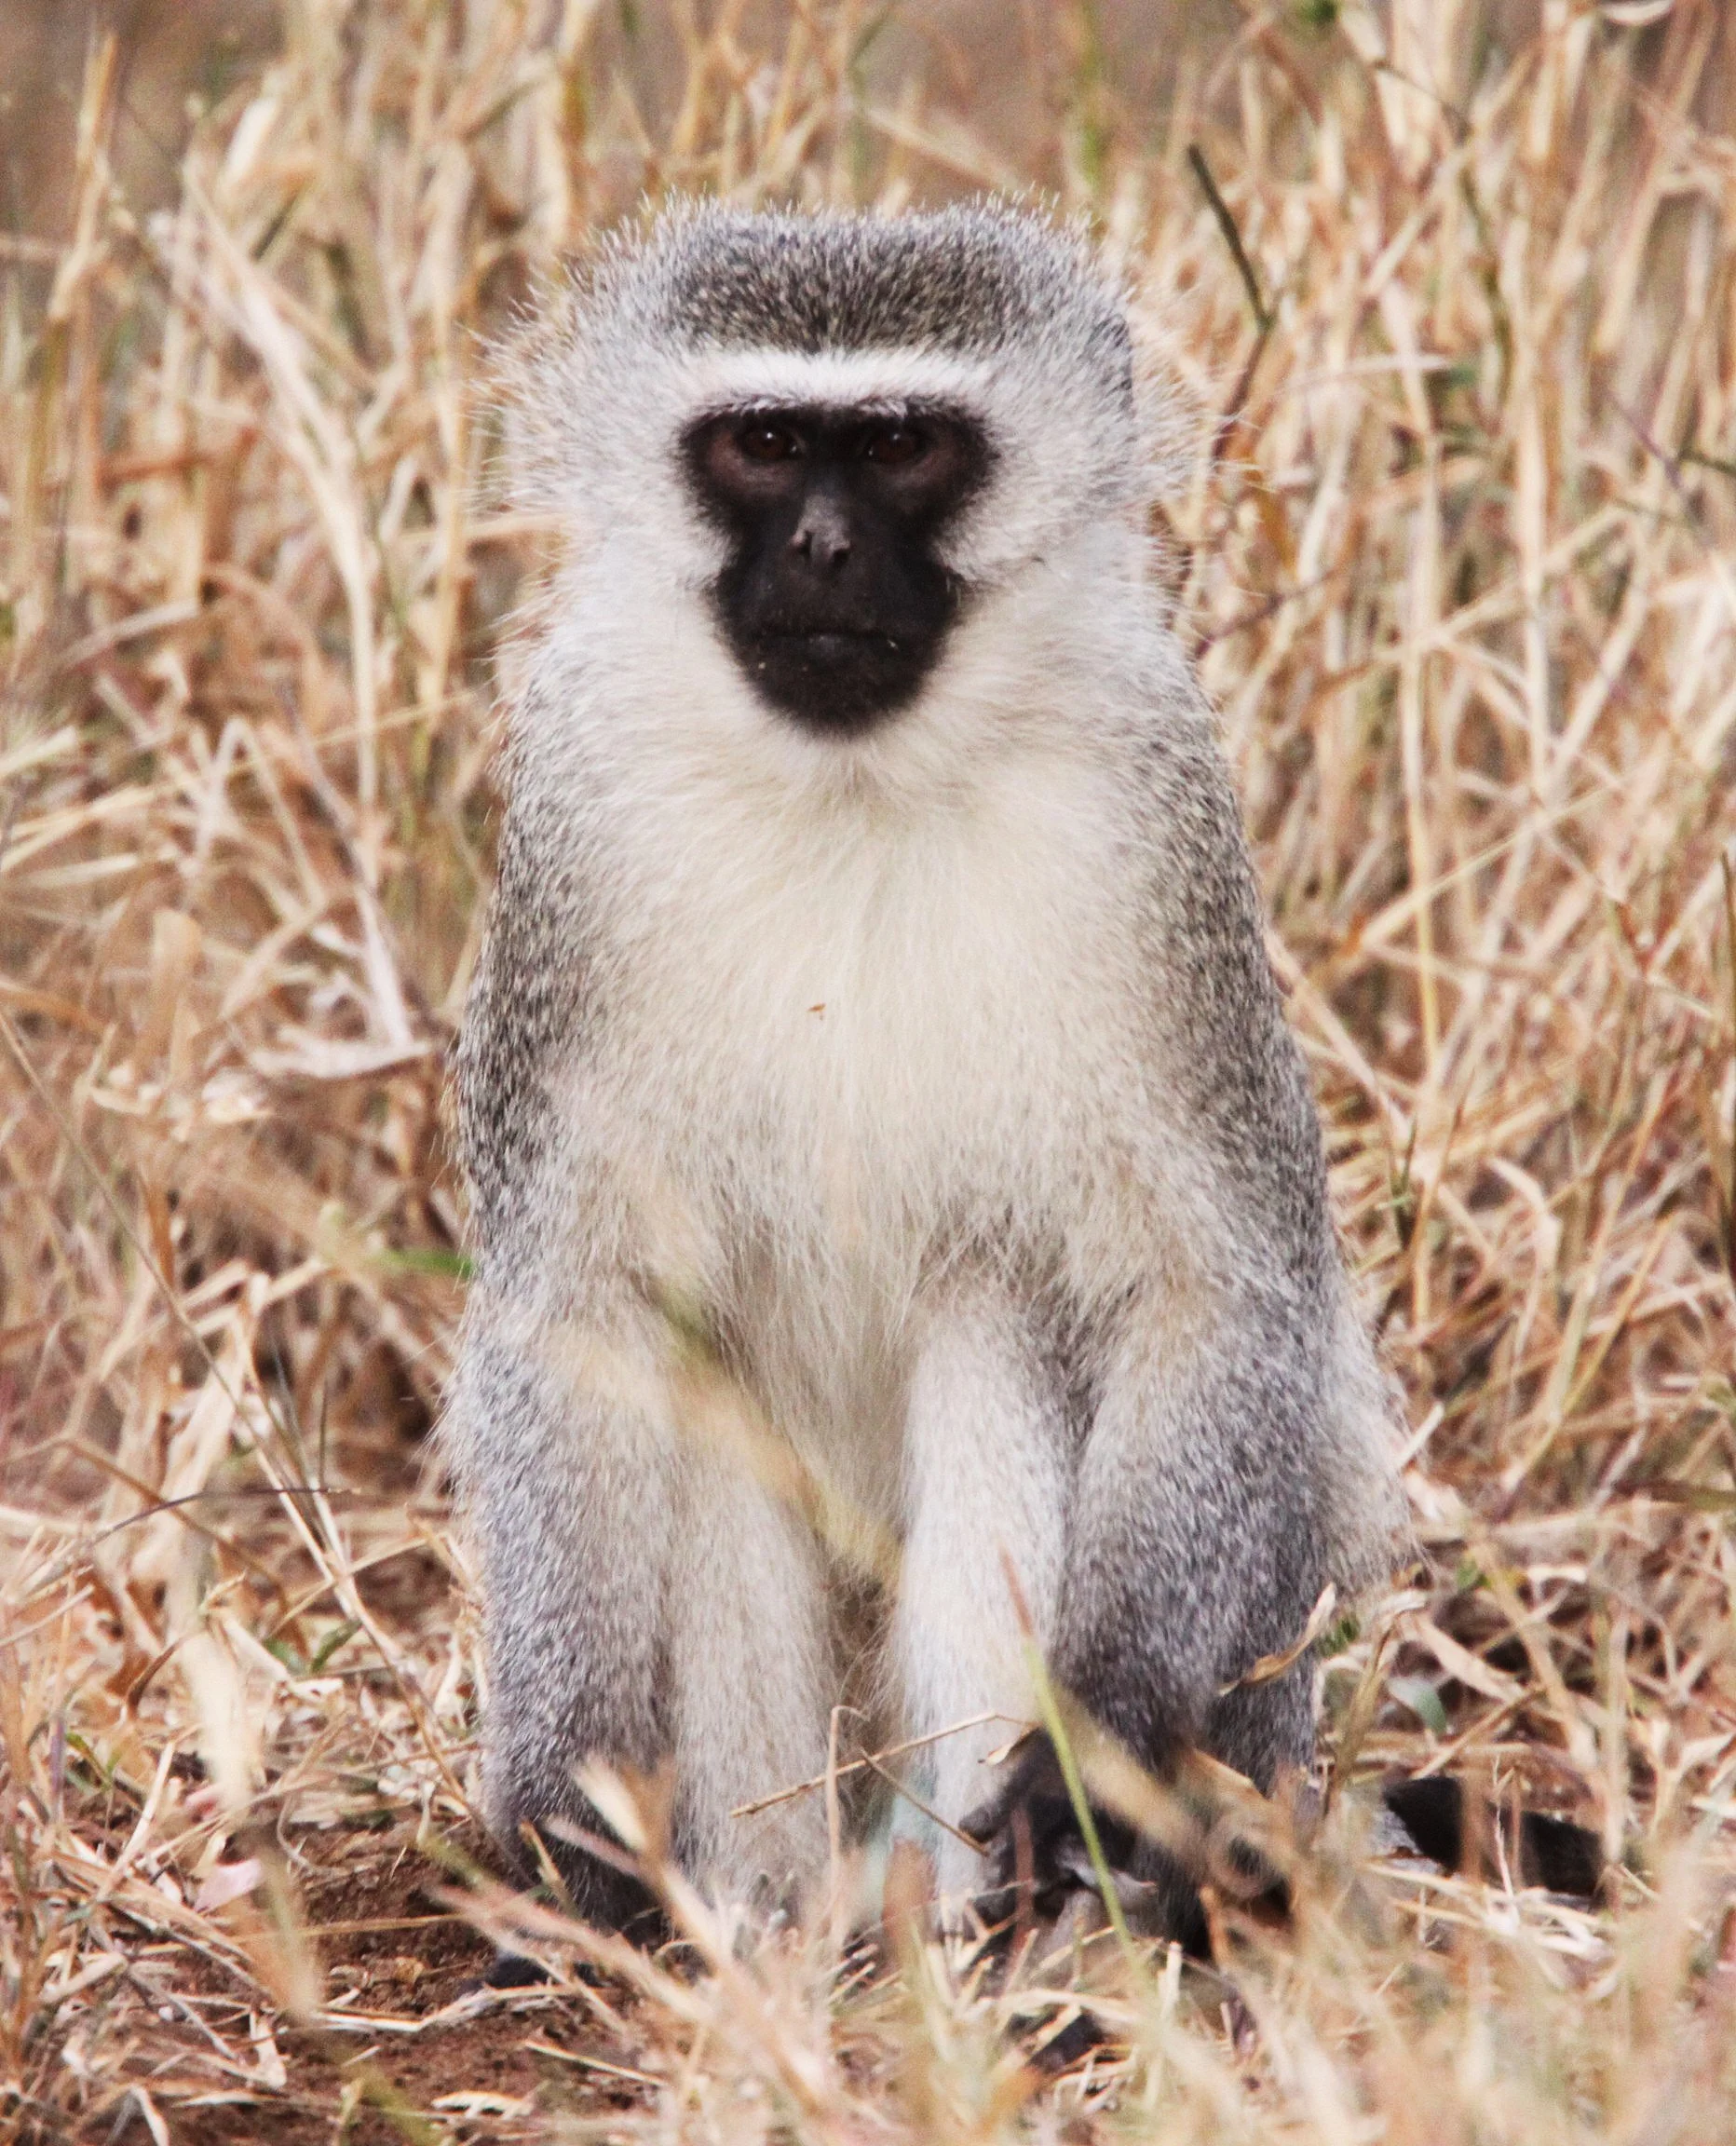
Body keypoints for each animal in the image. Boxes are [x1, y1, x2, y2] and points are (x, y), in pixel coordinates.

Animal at [445, 199, 1405, 1944]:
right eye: (763, 444)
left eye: (900, 448)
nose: (824, 551)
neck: (859, 782)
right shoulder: (574, 818)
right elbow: (586, 1314)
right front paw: (572, 1800)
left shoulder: (1153, 828)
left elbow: (1210, 1295)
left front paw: (1089, 1743)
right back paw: (759, 1924)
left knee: (995, 1306)